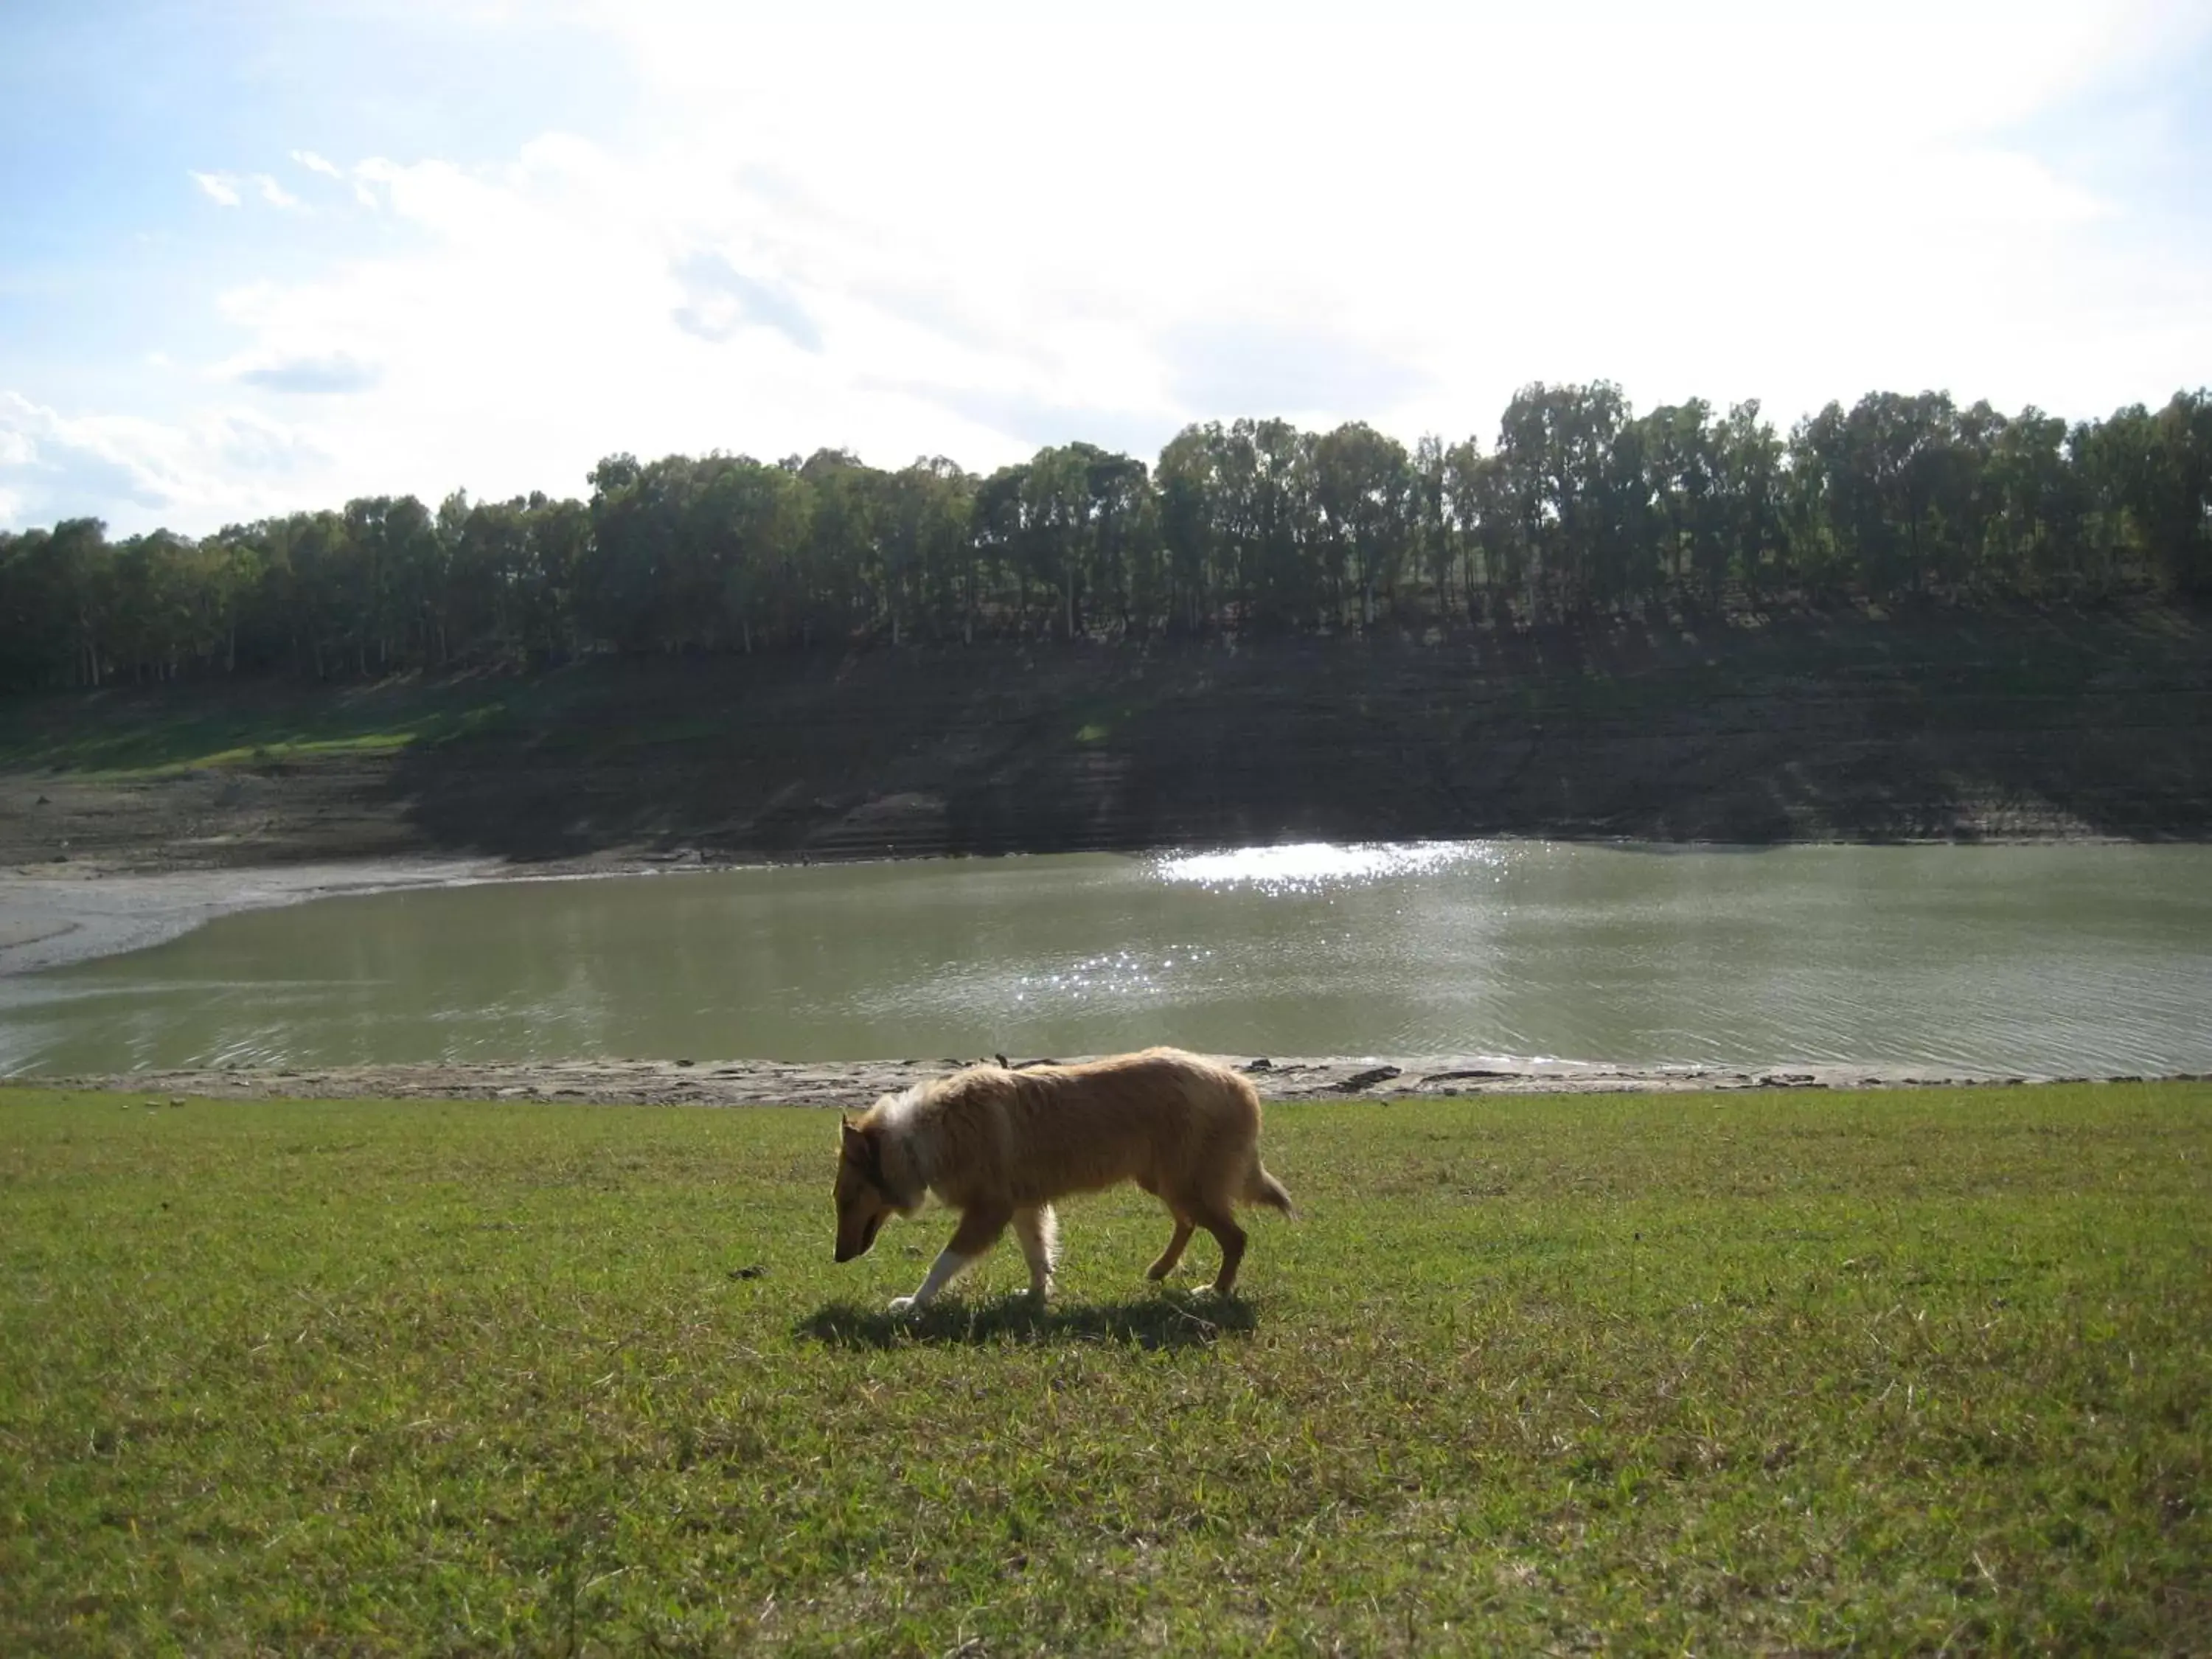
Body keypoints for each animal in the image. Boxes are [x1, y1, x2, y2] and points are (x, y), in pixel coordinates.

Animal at [832, 1053, 1292, 1310]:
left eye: (846, 1199)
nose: (838, 1259)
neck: (920, 1138)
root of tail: (1241, 1084)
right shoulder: (1023, 1207)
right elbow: (1038, 1254)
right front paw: (1036, 1296)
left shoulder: (989, 1211)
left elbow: (943, 1263)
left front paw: (914, 1303)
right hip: (1166, 1181)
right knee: (1188, 1223)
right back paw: (1160, 1269)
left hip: (1186, 1184)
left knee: (1234, 1238)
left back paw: (1216, 1291)